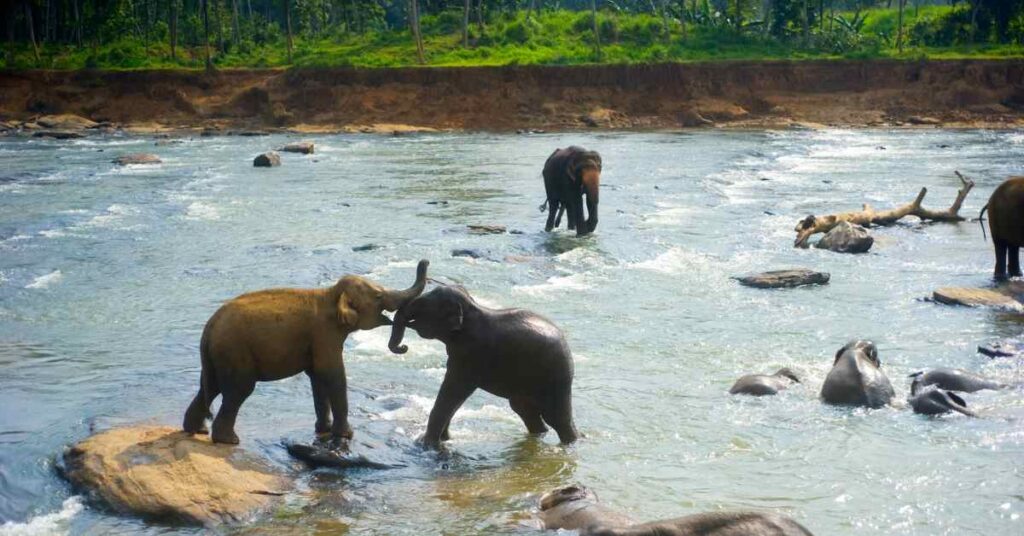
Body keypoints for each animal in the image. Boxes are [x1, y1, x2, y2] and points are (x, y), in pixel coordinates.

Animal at [184, 260, 428, 444]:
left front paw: (324, 430)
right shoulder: (324, 334)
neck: (331, 294)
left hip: (218, 356)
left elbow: (317, 377)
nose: (424, 261)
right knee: (238, 390)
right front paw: (346, 435)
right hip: (235, 352)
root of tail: (209, 327)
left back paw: (197, 430)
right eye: (378, 296)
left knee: (210, 386)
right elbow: (332, 373)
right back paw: (228, 440)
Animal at [385, 284, 577, 448]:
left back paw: (569, 444)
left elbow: (453, 390)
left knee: (557, 419)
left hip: (553, 380)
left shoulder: (471, 355)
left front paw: (425, 443)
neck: (472, 307)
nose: (403, 347)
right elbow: (453, 396)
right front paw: (444, 440)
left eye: (422, 305)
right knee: (524, 410)